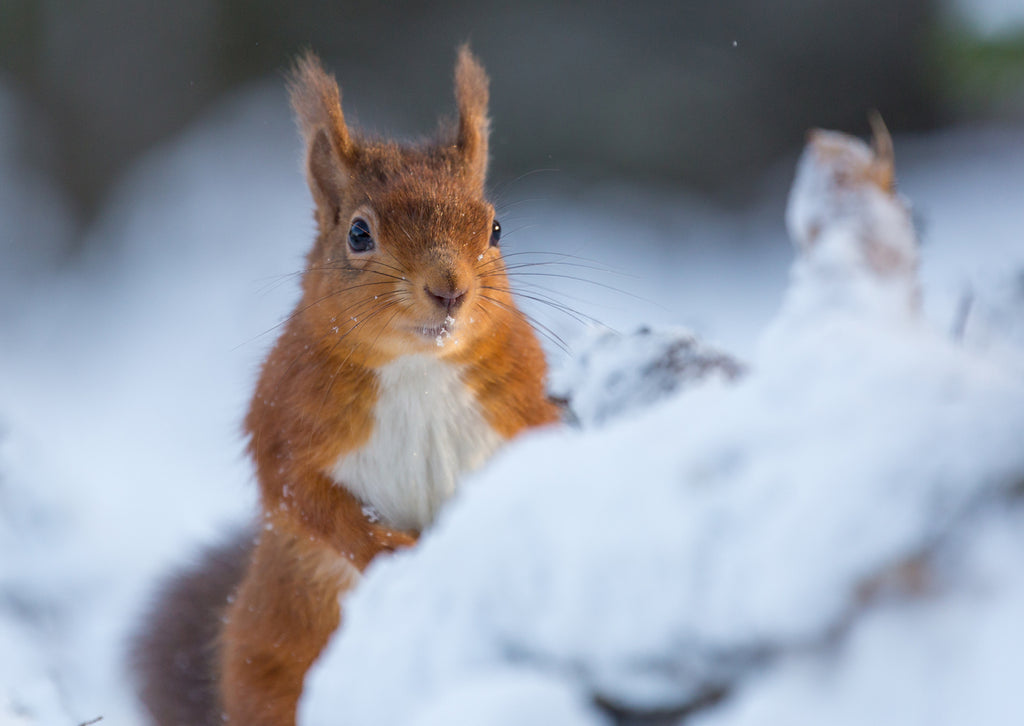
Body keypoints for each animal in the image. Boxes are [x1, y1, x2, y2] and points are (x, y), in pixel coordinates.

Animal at [130, 46, 561, 726]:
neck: (417, 366)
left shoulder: (524, 402)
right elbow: (309, 500)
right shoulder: (284, 421)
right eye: (359, 233)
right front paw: (395, 551)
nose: (450, 289)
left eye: (495, 229)